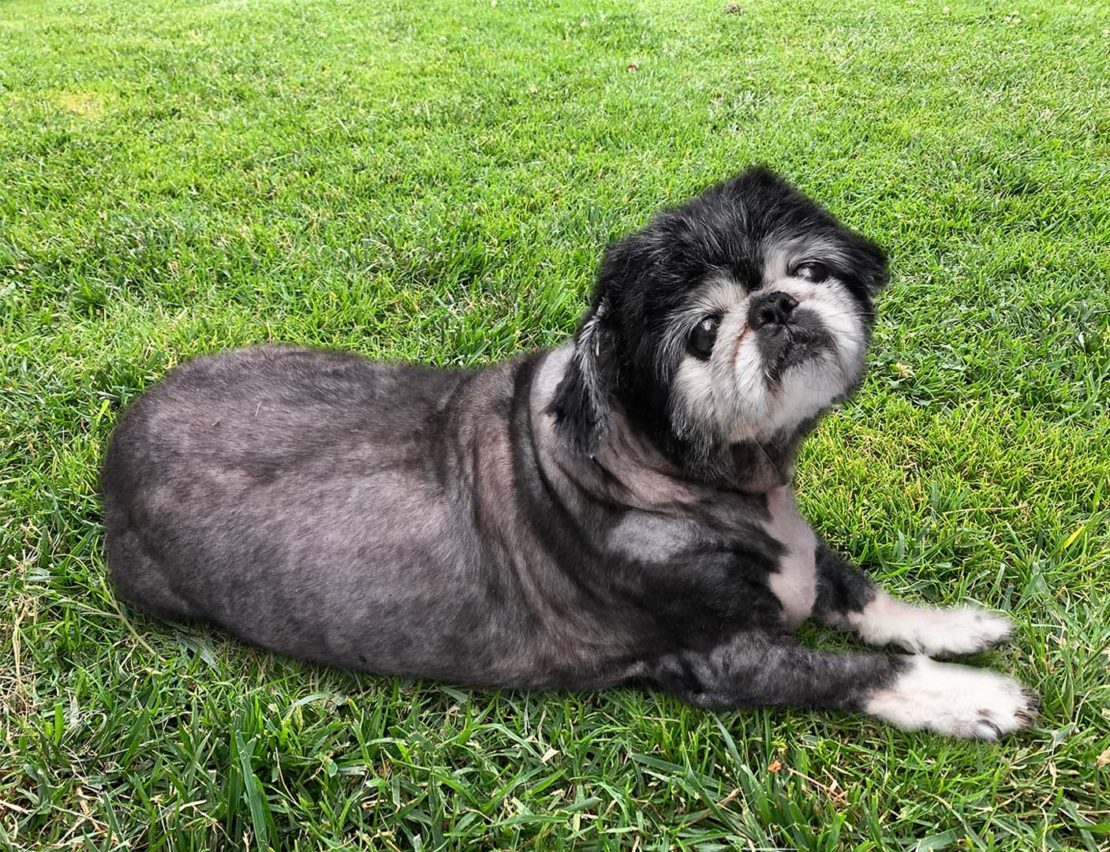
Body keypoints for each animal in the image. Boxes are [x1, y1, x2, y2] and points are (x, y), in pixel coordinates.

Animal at [102, 168, 1038, 736]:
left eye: (807, 270)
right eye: (703, 334)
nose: (773, 306)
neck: (688, 481)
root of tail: (117, 447)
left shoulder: (800, 557)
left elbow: (861, 593)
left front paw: (951, 627)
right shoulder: (727, 661)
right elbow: (855, 673)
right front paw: (966, 696)